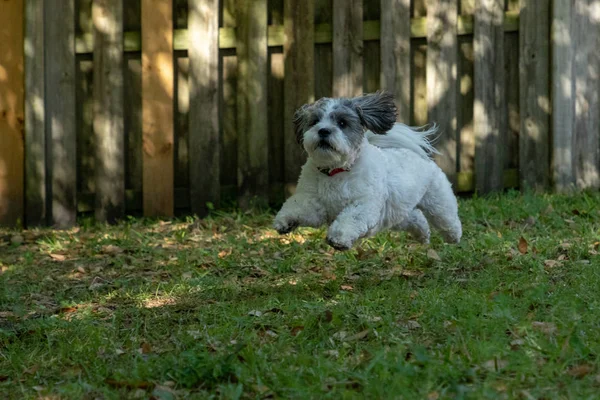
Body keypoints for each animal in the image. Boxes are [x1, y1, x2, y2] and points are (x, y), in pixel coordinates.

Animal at [274, 92, 462, 252]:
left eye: (342, 123)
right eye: (314, 121)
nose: (323, 130)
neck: (336, 171)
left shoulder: (364, 204)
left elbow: (350, 218)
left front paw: (338, 239)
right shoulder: (316, 204)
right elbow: (300, 207)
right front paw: (286, 221)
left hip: (437, 201)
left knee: (446, 218)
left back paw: (454, 236)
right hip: (396, 213)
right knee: (416, 217)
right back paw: (422, 235)